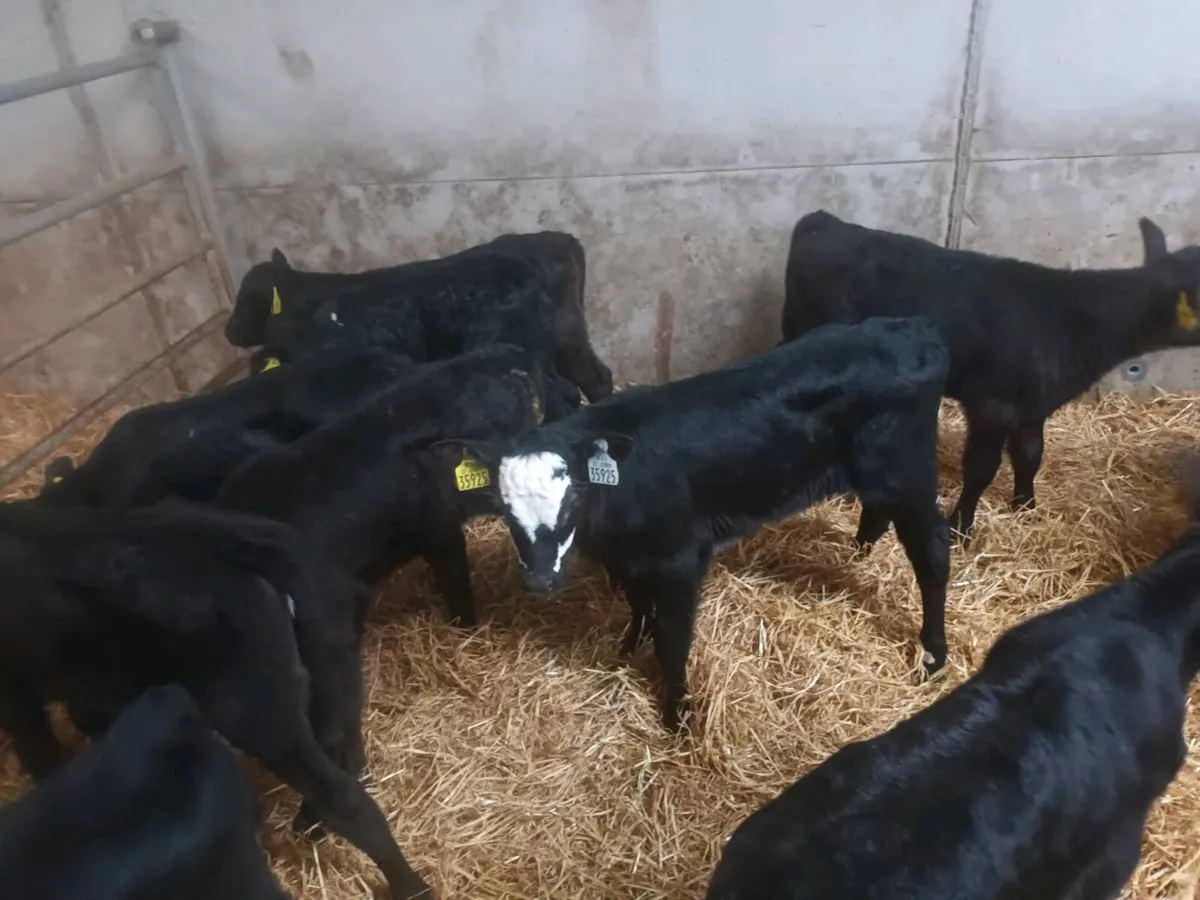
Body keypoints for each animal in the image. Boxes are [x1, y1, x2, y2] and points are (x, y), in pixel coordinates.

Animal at [440, 316, 951, 731]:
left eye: (571, 501)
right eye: (505, 507)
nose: (540, 579)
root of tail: (909, 329)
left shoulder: (681, 559)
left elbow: (673, 639)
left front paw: (676, 716)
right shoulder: (630, 556)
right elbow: (637, 602)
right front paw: (630, 644)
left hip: (907, 473)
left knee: (932, 553)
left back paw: (933, 654)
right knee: (878, 513)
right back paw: (859, 553)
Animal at [781, 210, 1200, 542]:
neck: (1069, 320)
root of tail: (823, 221)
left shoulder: (1033, 406)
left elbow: (1030, 455)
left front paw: (1026, 507)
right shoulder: (992, 406)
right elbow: (982, 468)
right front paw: (961, 527)